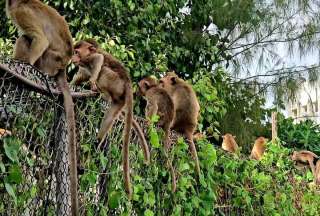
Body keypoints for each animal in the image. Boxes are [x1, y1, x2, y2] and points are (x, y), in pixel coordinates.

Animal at [5, 1, 78, 213]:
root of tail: (62, 68)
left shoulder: (21, 12)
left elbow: (41, 39)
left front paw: (24, 64)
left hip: (47, 62)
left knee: (27, 39)